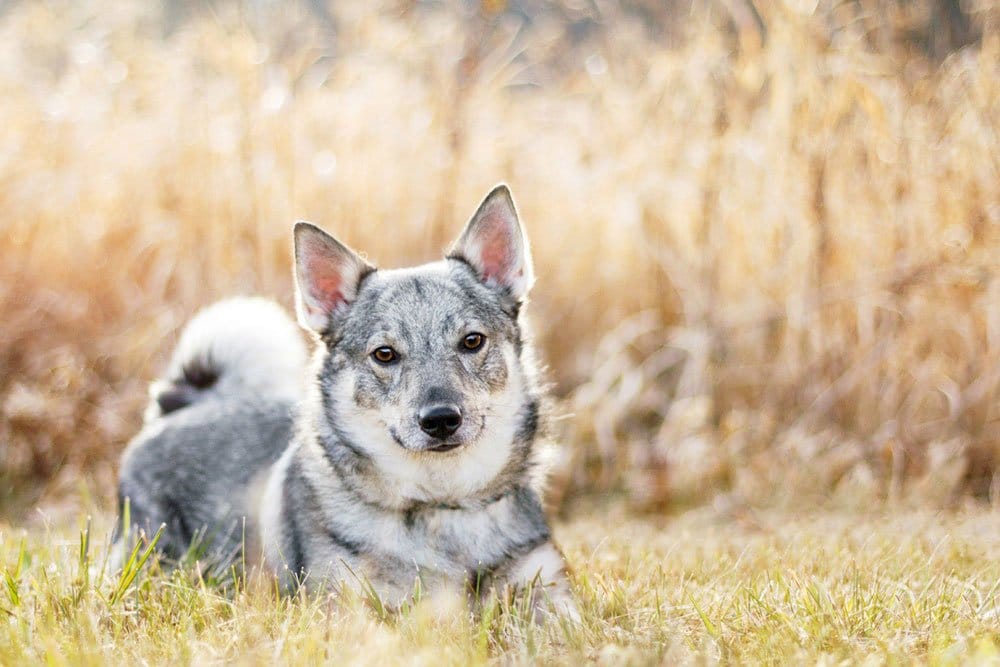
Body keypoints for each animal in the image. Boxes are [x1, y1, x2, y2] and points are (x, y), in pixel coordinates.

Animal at [115, 184, 580, 620]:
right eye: (385, 354)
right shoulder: (343, 606)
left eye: (472, 341)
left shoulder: (546, 585)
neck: (442, 506)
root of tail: (181, 406)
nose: (441, 419)